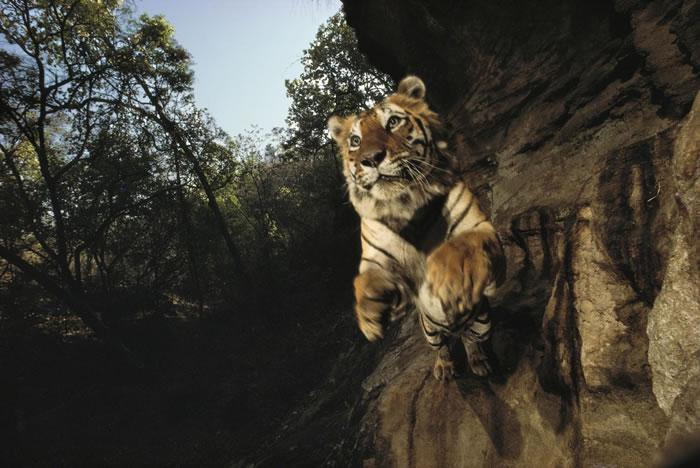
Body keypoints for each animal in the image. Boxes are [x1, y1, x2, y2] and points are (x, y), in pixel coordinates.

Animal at [328, 76, 506, 380]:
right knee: (442, 347)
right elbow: (366, 280)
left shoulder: (482, 229)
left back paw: (479, 361)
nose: (371, 158)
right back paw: (444, 368)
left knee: (471, 339)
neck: (405, 204)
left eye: (393, 122)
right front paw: (369, 315)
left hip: (483, 320)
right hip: (430, 330)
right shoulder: (379, 262)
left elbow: (461, 245)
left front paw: (447, 274)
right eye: (355, 141)